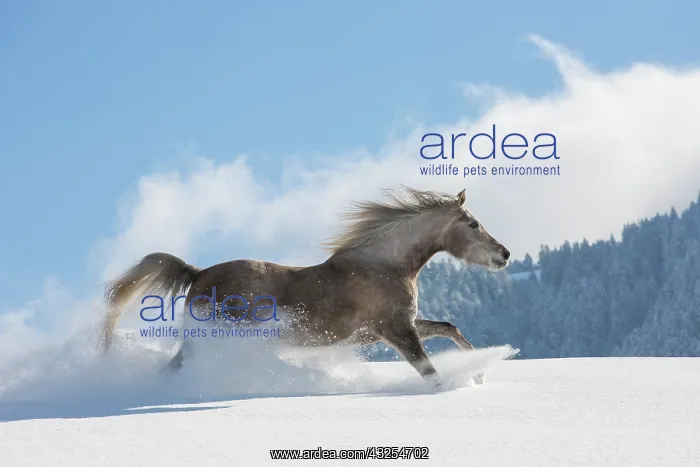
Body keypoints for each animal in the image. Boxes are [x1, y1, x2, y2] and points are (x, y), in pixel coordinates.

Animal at [99, 186, 510, 387]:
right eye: (473, 224)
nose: (504, 254)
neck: (384, 264)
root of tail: (197, 274)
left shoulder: (394, 328)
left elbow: (449, 328)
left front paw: (479, 373)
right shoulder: (397, 330)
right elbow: (429, 372)